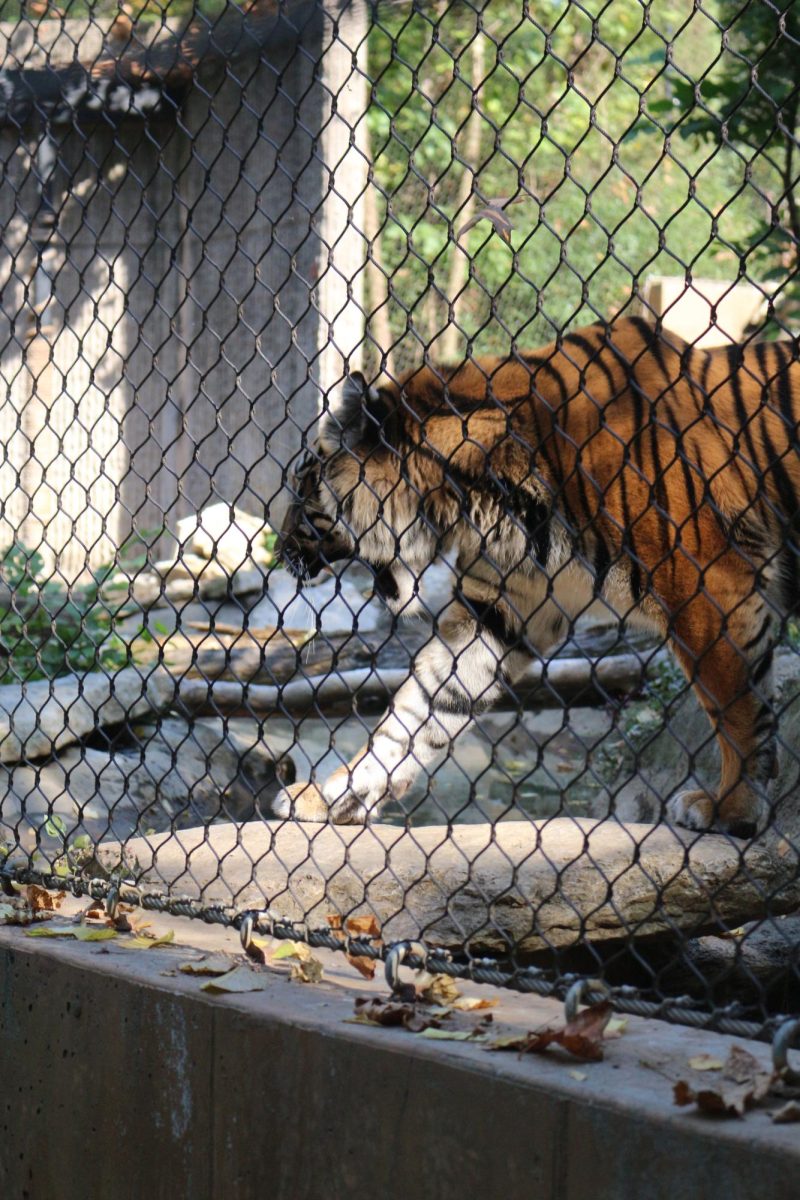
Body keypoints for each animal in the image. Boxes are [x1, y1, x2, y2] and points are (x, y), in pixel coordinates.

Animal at [272, 314, 796, 840]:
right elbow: (419, 710)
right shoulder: (503, 609)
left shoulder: (706, 584)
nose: (279, 551)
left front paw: (733, 809)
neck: (476, 501)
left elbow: (735, 707)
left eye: (302, 486)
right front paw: (332, 797)